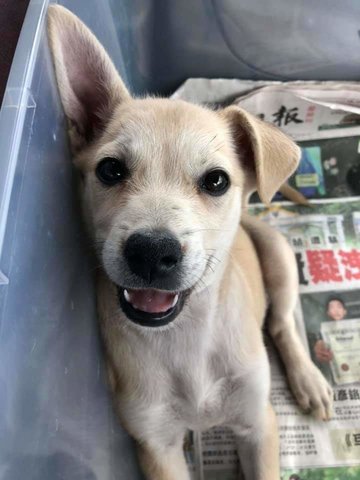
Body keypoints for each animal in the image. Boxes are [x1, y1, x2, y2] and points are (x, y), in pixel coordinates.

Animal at [47, 5, 332, 478]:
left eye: (216, 181)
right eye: (110, 170)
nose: (151, 253)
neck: (186, 337)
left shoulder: (260, 425)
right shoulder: (156, 445)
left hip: (280, 258)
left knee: (282, 321)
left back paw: (309, 380)